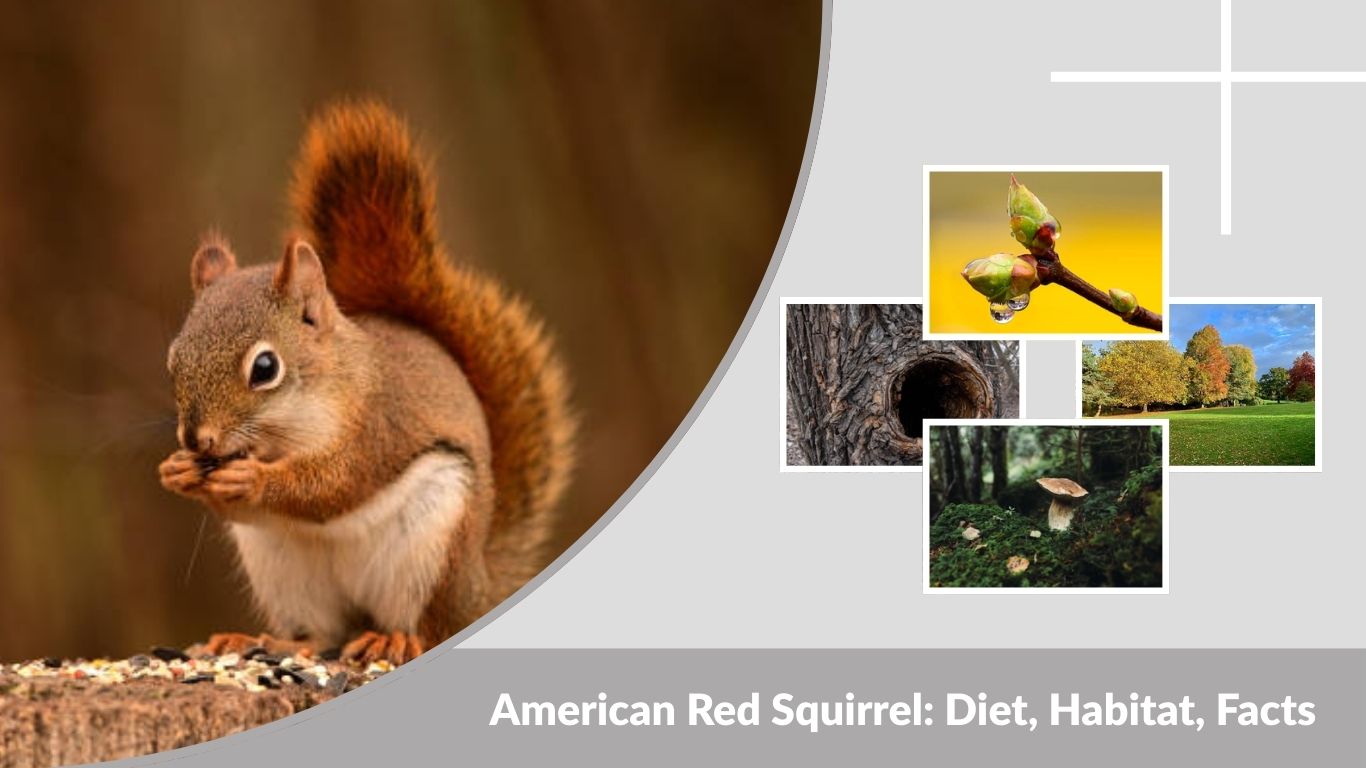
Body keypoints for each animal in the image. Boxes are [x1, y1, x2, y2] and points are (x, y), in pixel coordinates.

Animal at [157, 100, 575, 665]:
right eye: (173, 359)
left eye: (265, 368)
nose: (196, 439)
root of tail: (478, 593)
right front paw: (176, 470)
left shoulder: (377, 425)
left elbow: (335, 485)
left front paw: (256, 481)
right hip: (284, 571)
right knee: (319, 632)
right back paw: (267, 640)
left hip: (432, 547)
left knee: (426, 627)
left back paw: (393, 638)